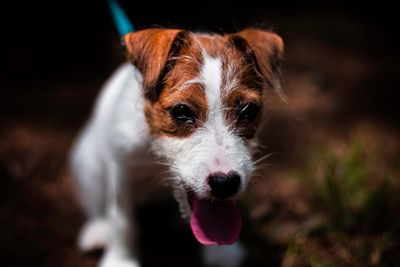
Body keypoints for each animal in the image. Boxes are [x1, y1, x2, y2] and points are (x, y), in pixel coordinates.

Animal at [71, 27, 284, 267]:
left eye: (248, 110)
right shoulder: (122, 171)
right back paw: (98, 229)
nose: (225, 183)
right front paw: (120, 260)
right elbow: (122, 221)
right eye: (181, 111)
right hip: (88, 165)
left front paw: (222, 253)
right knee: (94, 203)